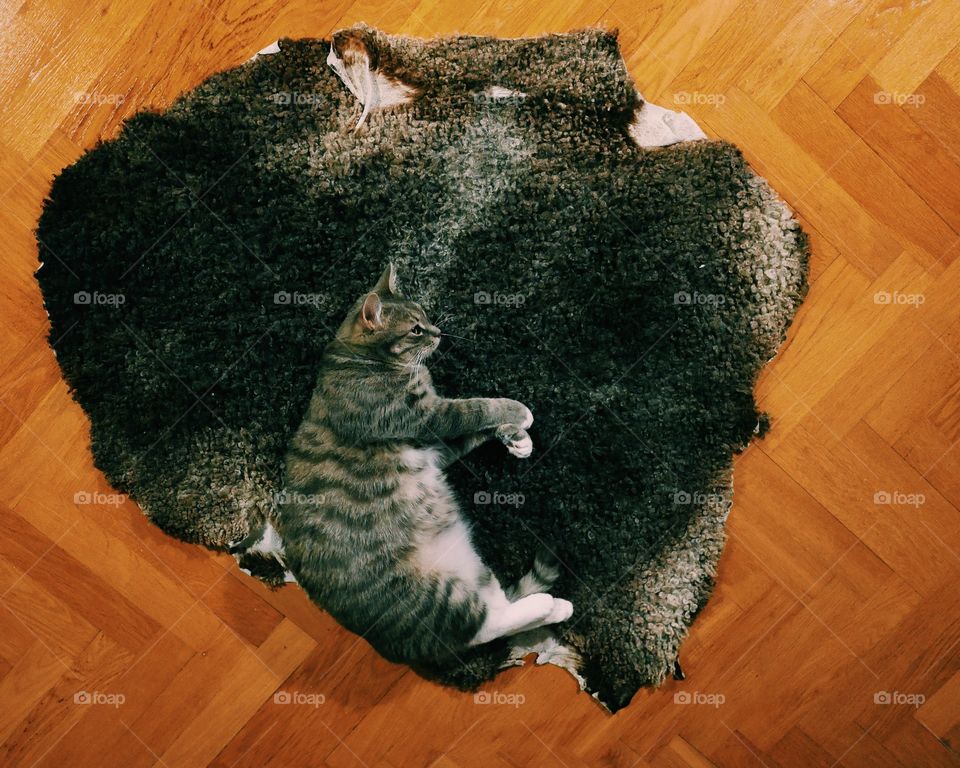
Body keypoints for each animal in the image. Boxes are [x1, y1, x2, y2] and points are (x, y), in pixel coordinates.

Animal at [266, 266, 572, 664]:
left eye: (424, 316)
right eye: (415, 329)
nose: (438, 332)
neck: (359, 358)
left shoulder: (435, 446)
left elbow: (476, 428)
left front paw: (516, 437)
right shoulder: (426, 416)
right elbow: (476, 407)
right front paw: (518, 412)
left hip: (470, 573)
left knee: (498, 608)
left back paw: (556, 606)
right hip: (431, 596)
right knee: (484, 626)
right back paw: (548, 605)